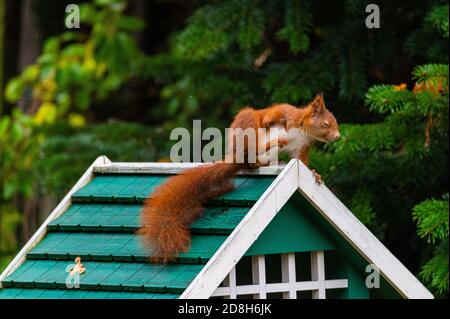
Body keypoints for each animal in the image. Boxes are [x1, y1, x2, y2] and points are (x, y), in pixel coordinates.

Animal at [137, 92, 338, 262]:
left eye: (336, 123)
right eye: (326, 124)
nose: (337, 137)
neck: (303, 131)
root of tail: (235, 157)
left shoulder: (301, 148)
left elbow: (301, 163)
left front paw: (315, 174)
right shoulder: (289, 113)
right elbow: (276, 111)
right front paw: (267, 119)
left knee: (253, 161)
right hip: (246, 122)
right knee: (251, 145)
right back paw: (271, 142)